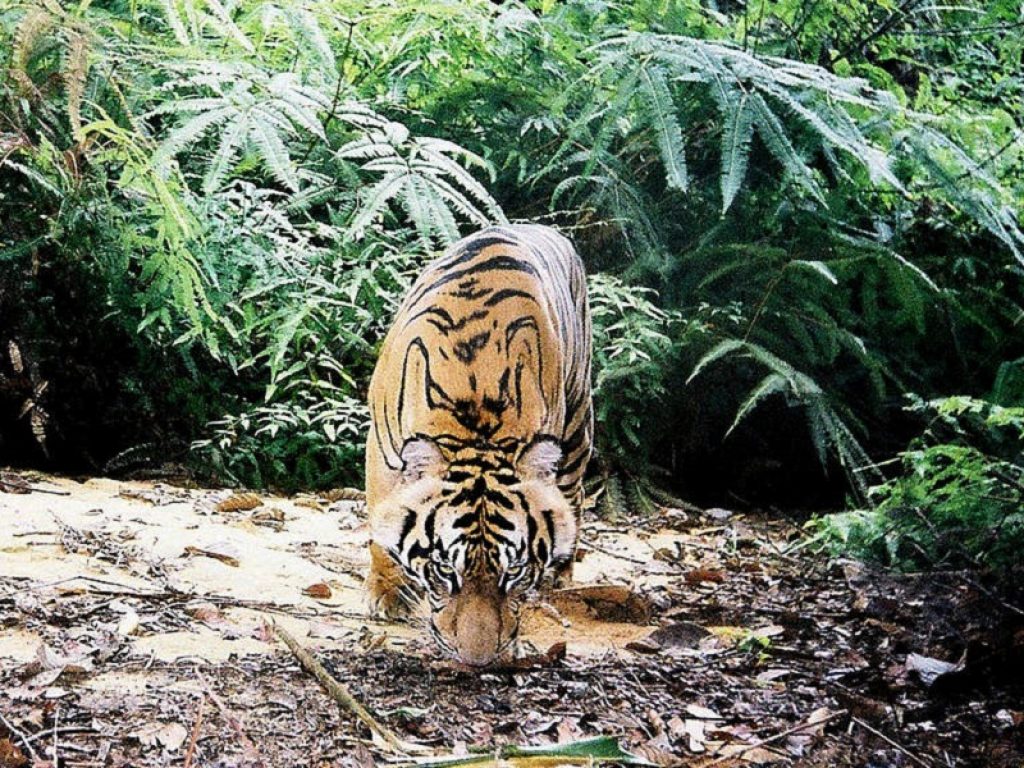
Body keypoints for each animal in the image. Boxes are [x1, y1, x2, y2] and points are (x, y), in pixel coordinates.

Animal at [364, 223, 593, 667]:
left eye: (514, 572)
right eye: (444, 570)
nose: (479, 660)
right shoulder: (382, 453)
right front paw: (388, 593)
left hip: (577, 427)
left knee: (574, 496)